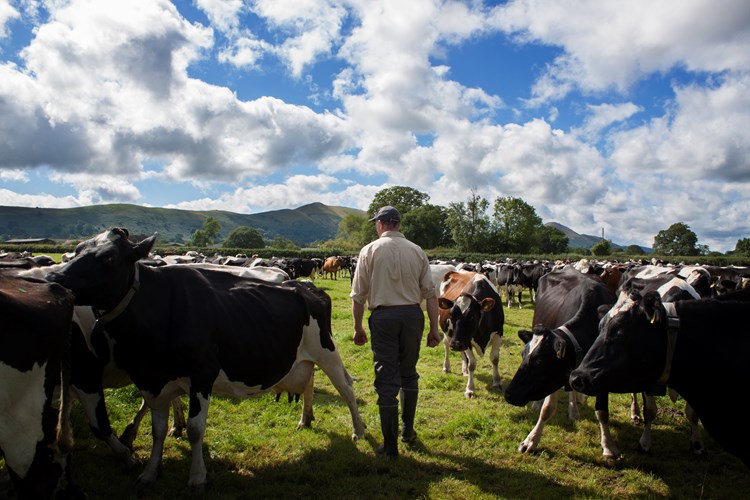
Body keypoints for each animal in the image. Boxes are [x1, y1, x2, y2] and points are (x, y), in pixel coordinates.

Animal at [506, 268, 624, 458]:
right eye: (522, 355)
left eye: (540, 361)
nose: (509, 394)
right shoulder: (556, 376)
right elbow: (547, 409)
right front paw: (531, 441)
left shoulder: (603, 373)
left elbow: (603, 412)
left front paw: (608, 446)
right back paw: (538, 404)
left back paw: (574, 409)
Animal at [572, 288, 750, 466]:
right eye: (599, 328)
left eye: (619, 332)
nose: (576, 378)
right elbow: (650, 411)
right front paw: (644, 445)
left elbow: (692, 414)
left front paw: (698, 446)